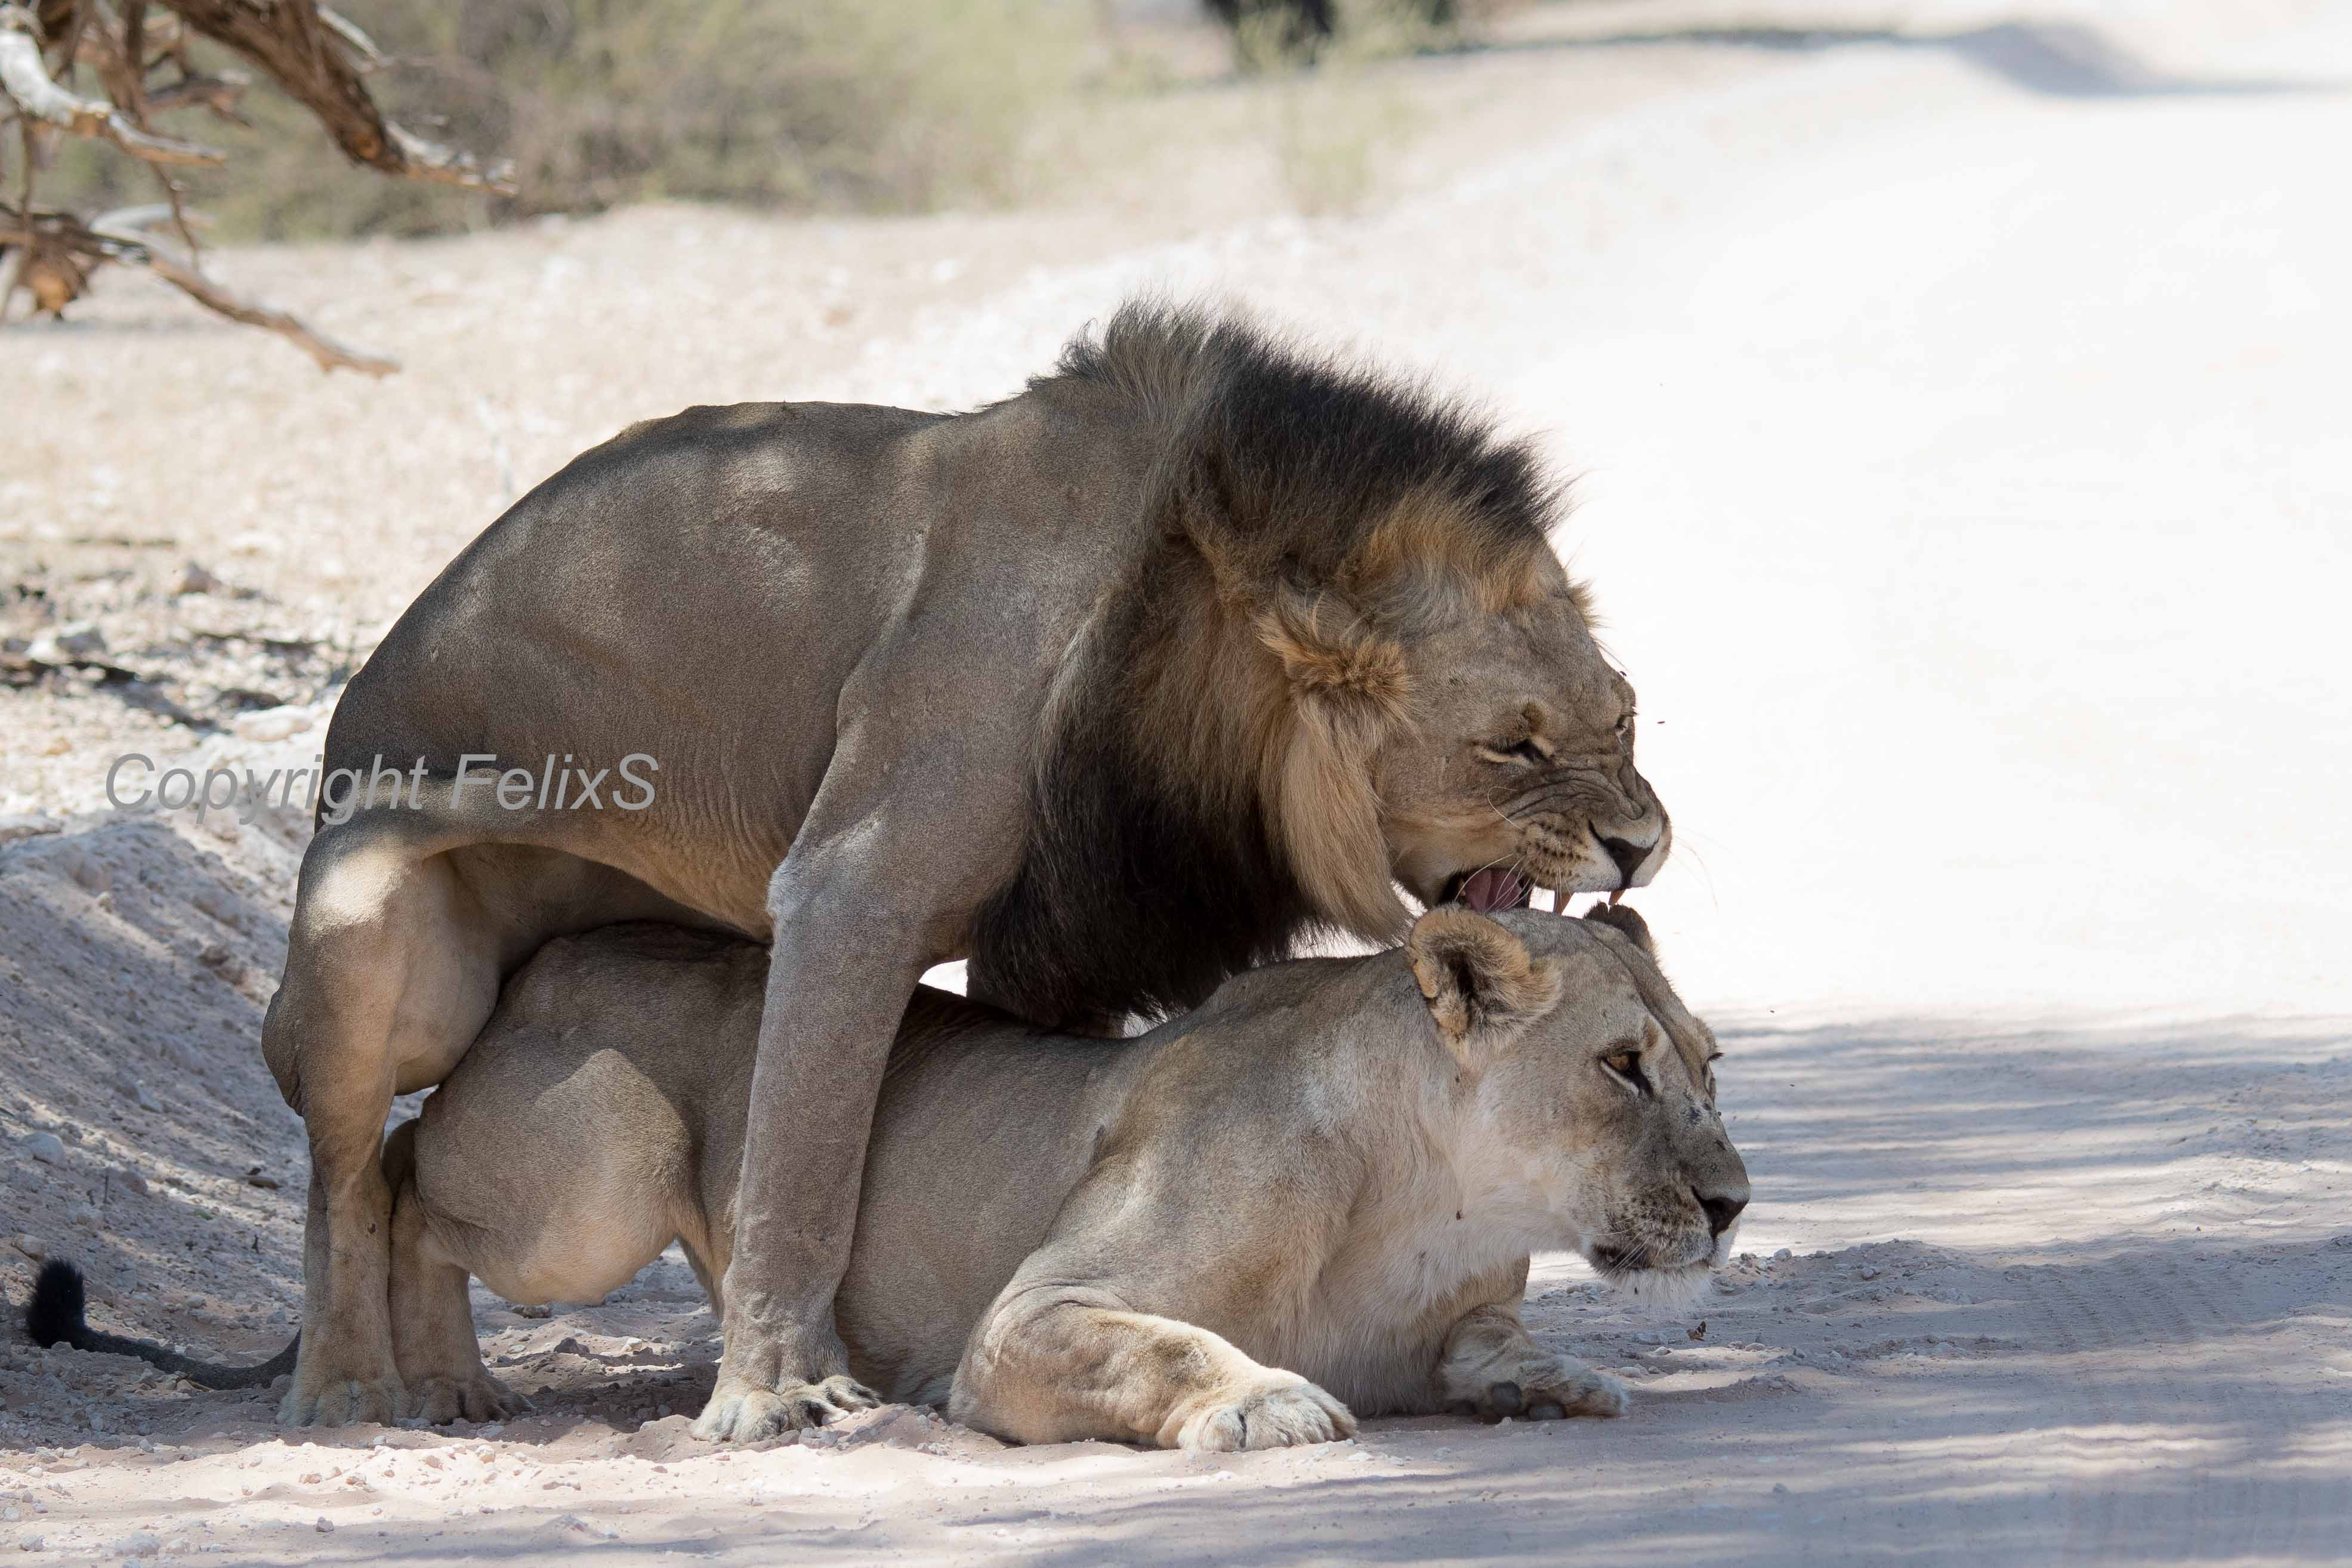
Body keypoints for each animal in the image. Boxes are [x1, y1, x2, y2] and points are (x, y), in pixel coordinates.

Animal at [41, 907, 1749, 1448]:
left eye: (1708, 1062)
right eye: (1621, 1067)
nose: (1735, 1201)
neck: (1432, 1197)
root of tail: (551, 953)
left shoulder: (1464, 1301)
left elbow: (1494, 1343)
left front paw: (1546, 1382)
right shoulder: (1024, 1322)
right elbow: (1174, 1344)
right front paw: (1265, 1399)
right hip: (609, 1162)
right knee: (394, 1159)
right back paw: (432, 1383)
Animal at [267, 301, 1674, 1439]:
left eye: (1625, 718)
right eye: (1511, 745)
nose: (1643, 847)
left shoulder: (1052, 954)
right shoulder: (850, 889)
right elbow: (802, 1171)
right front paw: (778, 1390)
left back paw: (453, 1383)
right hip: (374, 942)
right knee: (356, 1171)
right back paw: (350, 1386)